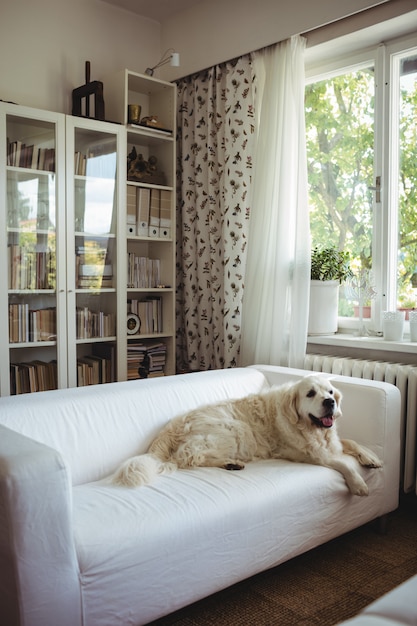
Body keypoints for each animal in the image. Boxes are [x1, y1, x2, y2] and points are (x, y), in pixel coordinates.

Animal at [113, 372, 380, 494]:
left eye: (330, 392)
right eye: (310, 394)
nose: (330, 403)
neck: (309, 428)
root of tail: (169, 427)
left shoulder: (329, 441)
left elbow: (348, 441)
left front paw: (370, 457)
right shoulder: (307, 453)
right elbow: (342, 463)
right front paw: (358, 484)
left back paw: (230, 463)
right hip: (235, 428)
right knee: (189, 458)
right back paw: (230, 462)